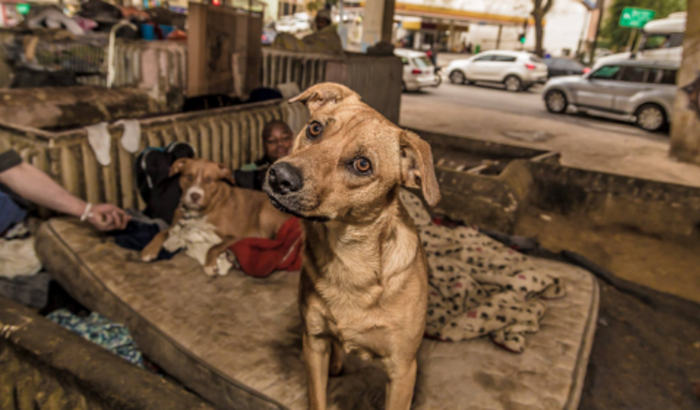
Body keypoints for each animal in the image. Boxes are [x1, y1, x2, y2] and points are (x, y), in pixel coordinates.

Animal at [141, 158, 290, 275]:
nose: (195, 195)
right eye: (188, 176)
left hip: (264, 213)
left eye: (209, 180)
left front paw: (210, 265)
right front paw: (149, 250)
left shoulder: (235, 236)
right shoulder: (175, 225)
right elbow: (162, 232)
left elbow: (214, 247)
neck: (203, 211)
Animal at [263, 83, 441, 409]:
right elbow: (317, 397)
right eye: (315, 128)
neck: (347, 259)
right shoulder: (314, 343)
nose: (280, 176)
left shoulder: (402, 370)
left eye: (362, 164)